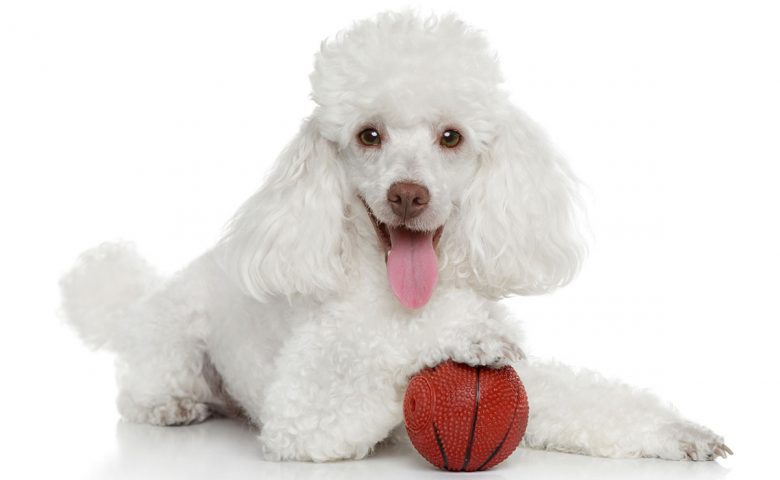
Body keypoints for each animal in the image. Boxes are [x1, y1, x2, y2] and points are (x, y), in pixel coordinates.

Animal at [61, 11, 732, 462]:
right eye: (369, 135)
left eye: (451, 137)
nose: (408, 195)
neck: (402, 296)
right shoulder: (306, 413)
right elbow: (382, 352)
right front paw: (468, 338)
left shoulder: (531, 386)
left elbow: (583, 397)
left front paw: (676, 431)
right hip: (172, 344)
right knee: (142, 388)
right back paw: (172, 406)